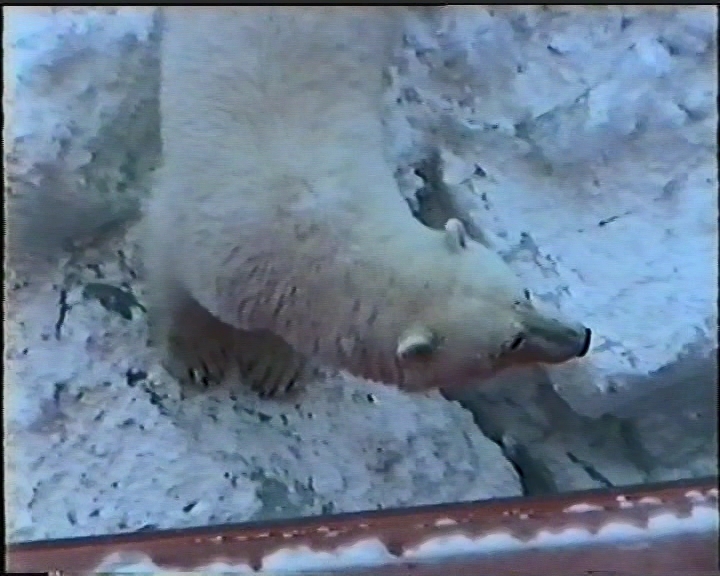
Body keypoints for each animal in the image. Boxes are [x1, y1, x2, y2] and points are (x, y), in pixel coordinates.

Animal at [143, 7, 592, 397]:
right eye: (510, 342)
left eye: (524, 294)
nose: (582, 337)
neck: (313, 228)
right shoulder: (203, 228)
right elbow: (166, 262)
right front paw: (198, 357)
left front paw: (275, 367)